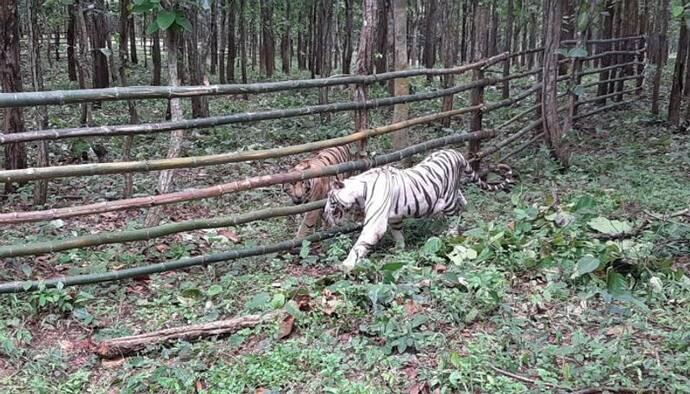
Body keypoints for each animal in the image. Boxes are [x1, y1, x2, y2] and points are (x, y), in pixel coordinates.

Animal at [322, 148, 510, 270]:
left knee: (456, 213)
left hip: (448, 200)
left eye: (331, 200)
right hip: (453, 192)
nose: (324, 214)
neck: (360, 190)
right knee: (462, 199)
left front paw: (347, 264)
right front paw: (399, 248)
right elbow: (397, 232)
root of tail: (456, 153)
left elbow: (361, 244)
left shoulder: (375, 223)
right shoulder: (394, 217)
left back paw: (451, 234)